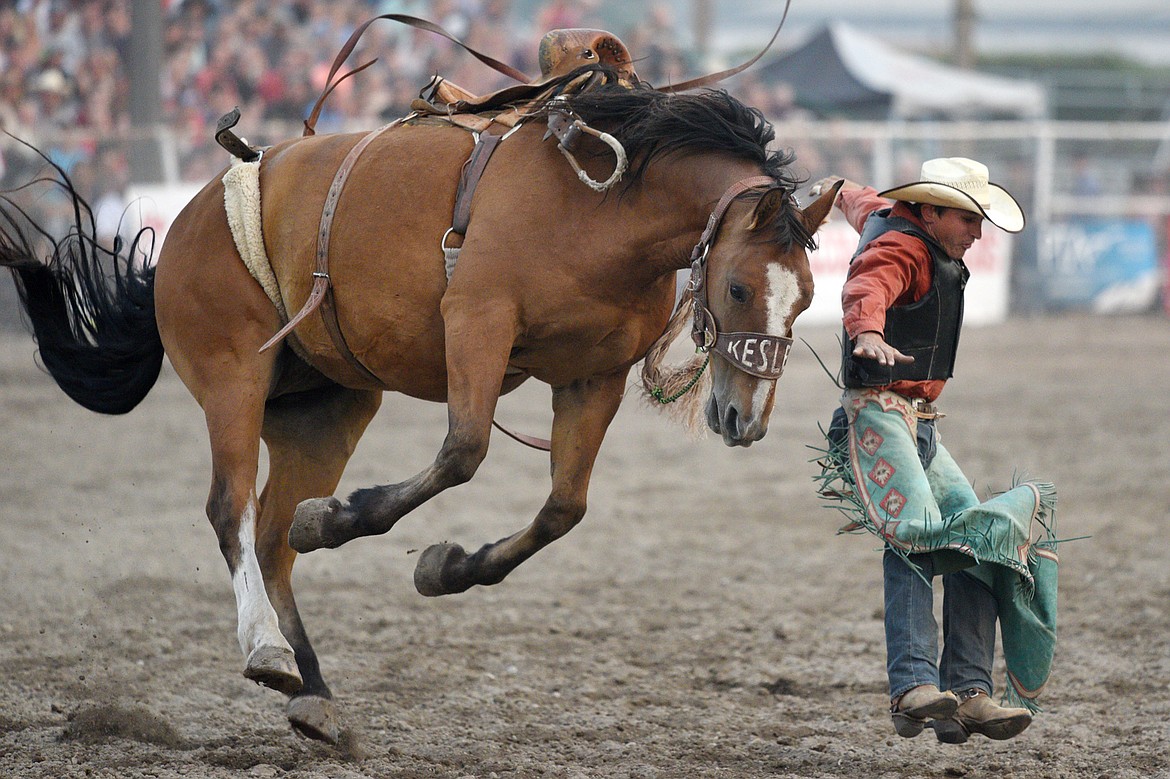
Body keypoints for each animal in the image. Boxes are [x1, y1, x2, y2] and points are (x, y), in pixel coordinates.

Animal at [0, 69, 842, 739]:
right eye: (740, 287)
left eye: (806, 299)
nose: (744, 419)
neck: (601, 209)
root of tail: (191, 216)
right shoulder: (477, 320)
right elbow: (463, 452)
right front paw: (341, 520)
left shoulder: (594, 373)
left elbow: (563, 508)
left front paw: (447, 565)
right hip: (233, 372)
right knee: (230, 508)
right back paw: (268, 647)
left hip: (325, 409)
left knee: (272, 537)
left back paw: (314, 693)